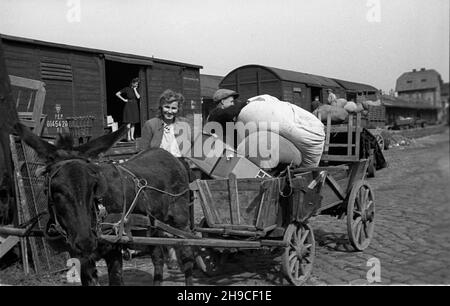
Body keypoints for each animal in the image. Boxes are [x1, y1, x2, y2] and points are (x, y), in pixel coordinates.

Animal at [14, 123, 194, 286]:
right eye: (53, 189)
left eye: (94, 185)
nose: (86, 241)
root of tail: (170, 156)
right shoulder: (80, 256)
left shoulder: (113, 249)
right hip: (152, 228)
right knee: (158, 258)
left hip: (180, 222)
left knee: (186, 257)